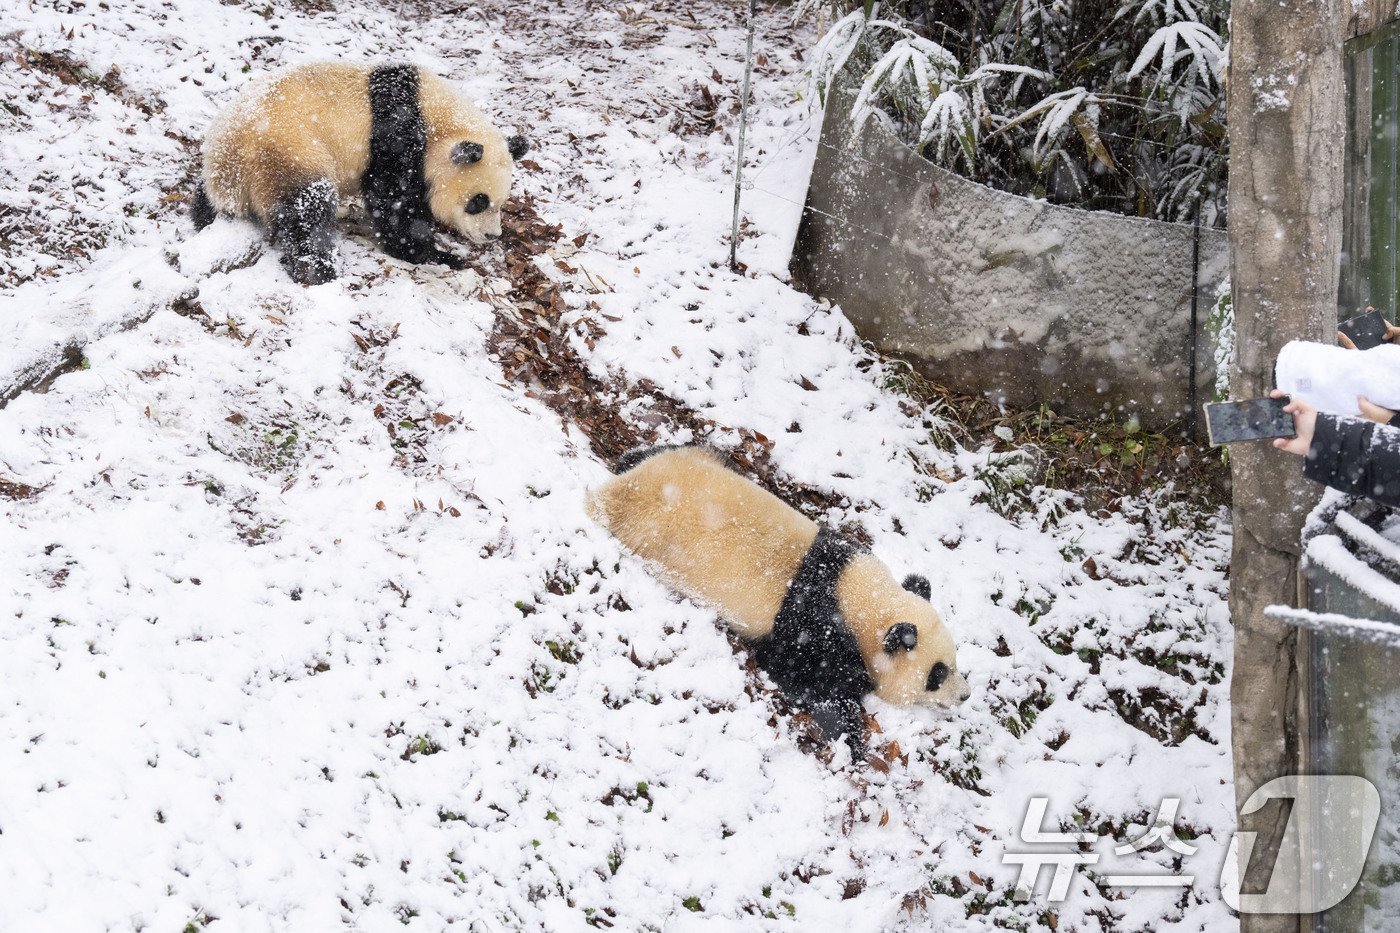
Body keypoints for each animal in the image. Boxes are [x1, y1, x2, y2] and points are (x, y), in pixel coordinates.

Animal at [191, 61, 529, 282]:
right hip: (287, 149)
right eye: (478, 201)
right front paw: (438, 254)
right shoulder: (396, 137)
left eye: (501, 203)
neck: (439, 122)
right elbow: (394, 203)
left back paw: (203, 215)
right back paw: (318, 266)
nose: (491, 236)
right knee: (307, 207)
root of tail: (228, 165)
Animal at [585, 445, 968, 750]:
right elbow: (807, 679)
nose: (965, 695)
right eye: (937, 674)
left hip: (686, 459)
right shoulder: (810, 628)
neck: (860, 597)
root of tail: (617, 491)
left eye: (954, 660)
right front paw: (850, 731)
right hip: (646, 533)